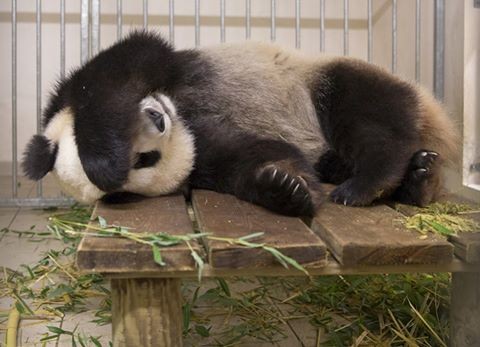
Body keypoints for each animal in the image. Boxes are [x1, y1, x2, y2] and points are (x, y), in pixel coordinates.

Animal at [21, 32, 458, 218]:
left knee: (363, 115)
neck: (183, 111)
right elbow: (245, 156)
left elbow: (117, 73)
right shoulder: (200, 150)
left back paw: (367, 183)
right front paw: (285, 188)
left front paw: (104, 163)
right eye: (146, 160)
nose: (157, 119)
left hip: (322, 78)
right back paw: (418, 180)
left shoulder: (134, 71)